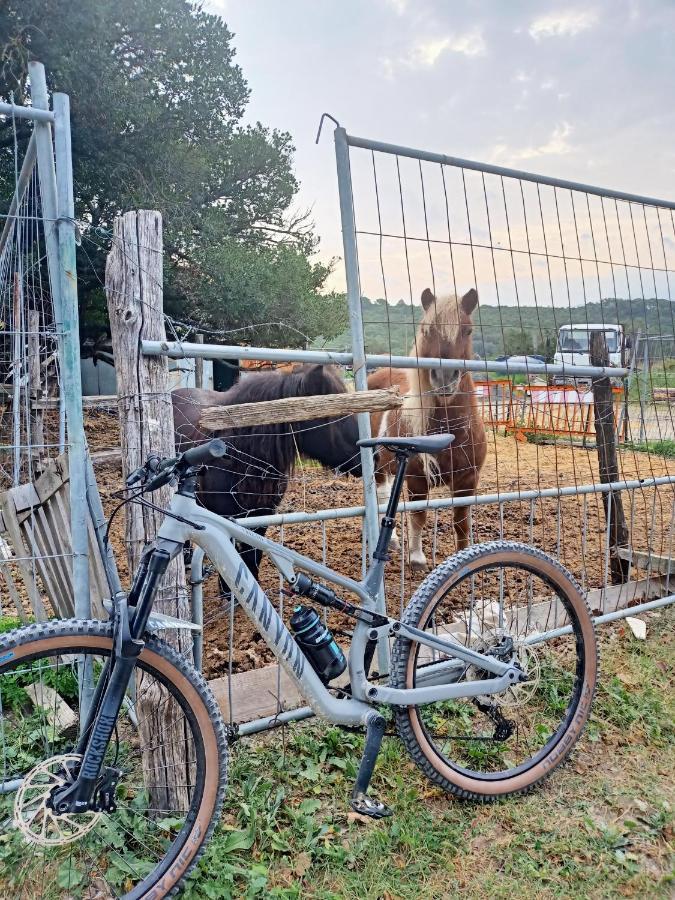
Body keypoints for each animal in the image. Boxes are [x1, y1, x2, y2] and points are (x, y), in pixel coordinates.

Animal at [370, 286, 486, 568]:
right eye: (426, 330)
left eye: (468, 330)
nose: (444, 378)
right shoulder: (417, 479)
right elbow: (419, 515)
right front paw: (417, 557)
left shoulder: (468, 480)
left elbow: (461, 524)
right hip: (378, 463)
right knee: (381, 495)